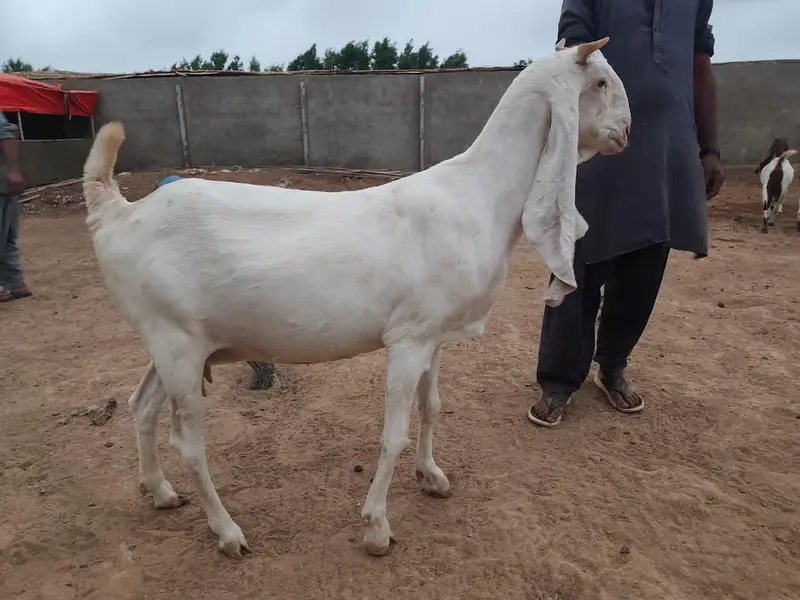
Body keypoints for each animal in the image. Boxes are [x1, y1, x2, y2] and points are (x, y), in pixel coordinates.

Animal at [82, 38, 630, 558]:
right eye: (600, 82)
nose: (626, 132)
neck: (478, 193)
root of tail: (116, 212)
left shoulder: (434, 336)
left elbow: (432, 407)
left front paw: (432, 477)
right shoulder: (407, 339)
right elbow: (394, 433)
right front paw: (377, 528)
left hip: (175, 343)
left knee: (141, 405)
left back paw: (159, 490)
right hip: (176, 342)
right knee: (189, 443)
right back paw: (228, 532)